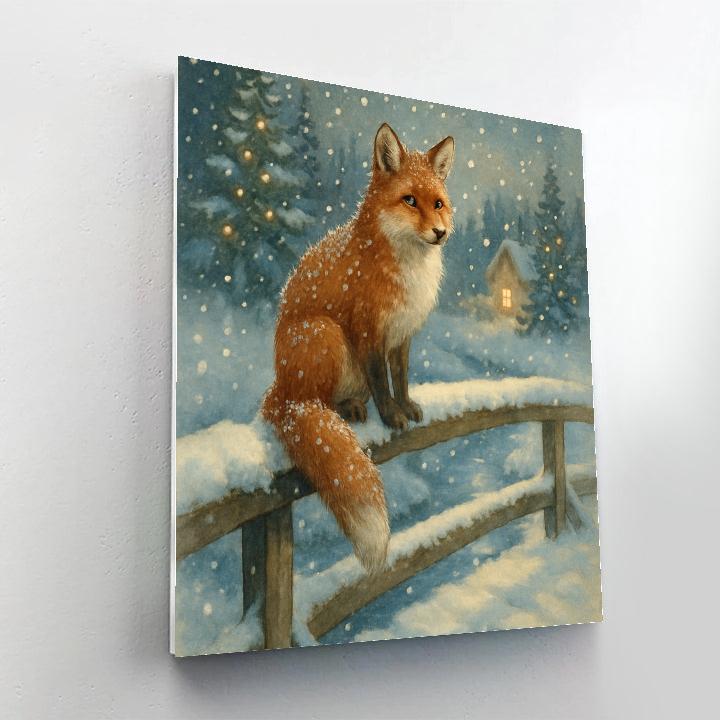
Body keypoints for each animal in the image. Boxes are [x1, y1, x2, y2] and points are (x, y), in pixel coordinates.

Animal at [262, 123, 455, 572]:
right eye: (409, 200)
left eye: (438, 203)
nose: (439, 232)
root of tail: (279, 389)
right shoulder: (367, 330)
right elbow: (382, 381)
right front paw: (391, 416)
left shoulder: (402, 335)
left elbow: (400, 376)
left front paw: (408, 407)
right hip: (325, 333)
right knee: (313, 403)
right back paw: (340, 411)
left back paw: (351, 406)